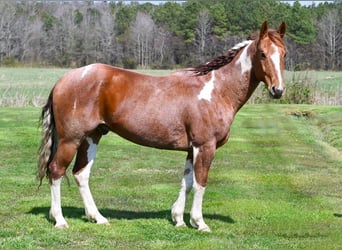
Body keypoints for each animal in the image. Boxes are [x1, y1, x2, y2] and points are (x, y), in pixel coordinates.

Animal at [38, 21, 286, 232]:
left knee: (81, 174)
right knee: (57, 171)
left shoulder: (191, 149)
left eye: (284, 54)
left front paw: (179, 219)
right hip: (71, 139)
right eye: (262, 54)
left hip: (91, 137)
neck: (216, 90)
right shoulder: (205, 146)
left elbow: (187, 182)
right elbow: (200, 183)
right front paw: (199, 222)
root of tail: (63, 80)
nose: (278, 90)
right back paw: (60, 220)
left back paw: (97, 217)